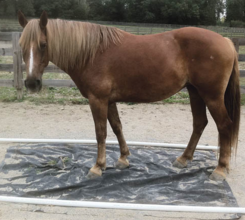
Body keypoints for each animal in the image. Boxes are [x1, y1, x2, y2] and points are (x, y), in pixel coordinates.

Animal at [18, 11, 240, 180]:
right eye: (21, 45)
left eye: (43, 44)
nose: (31, 83)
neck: (91, 52)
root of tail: (225, 41)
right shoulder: (109, 100)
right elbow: (116, 127)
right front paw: (123, 158)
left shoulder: (97, 99)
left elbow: (101, 132)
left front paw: (98, 166)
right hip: (195, 92)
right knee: (200, 123)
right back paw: (183, 159)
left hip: (212, 96)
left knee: (224, 125)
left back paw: (220, 169)